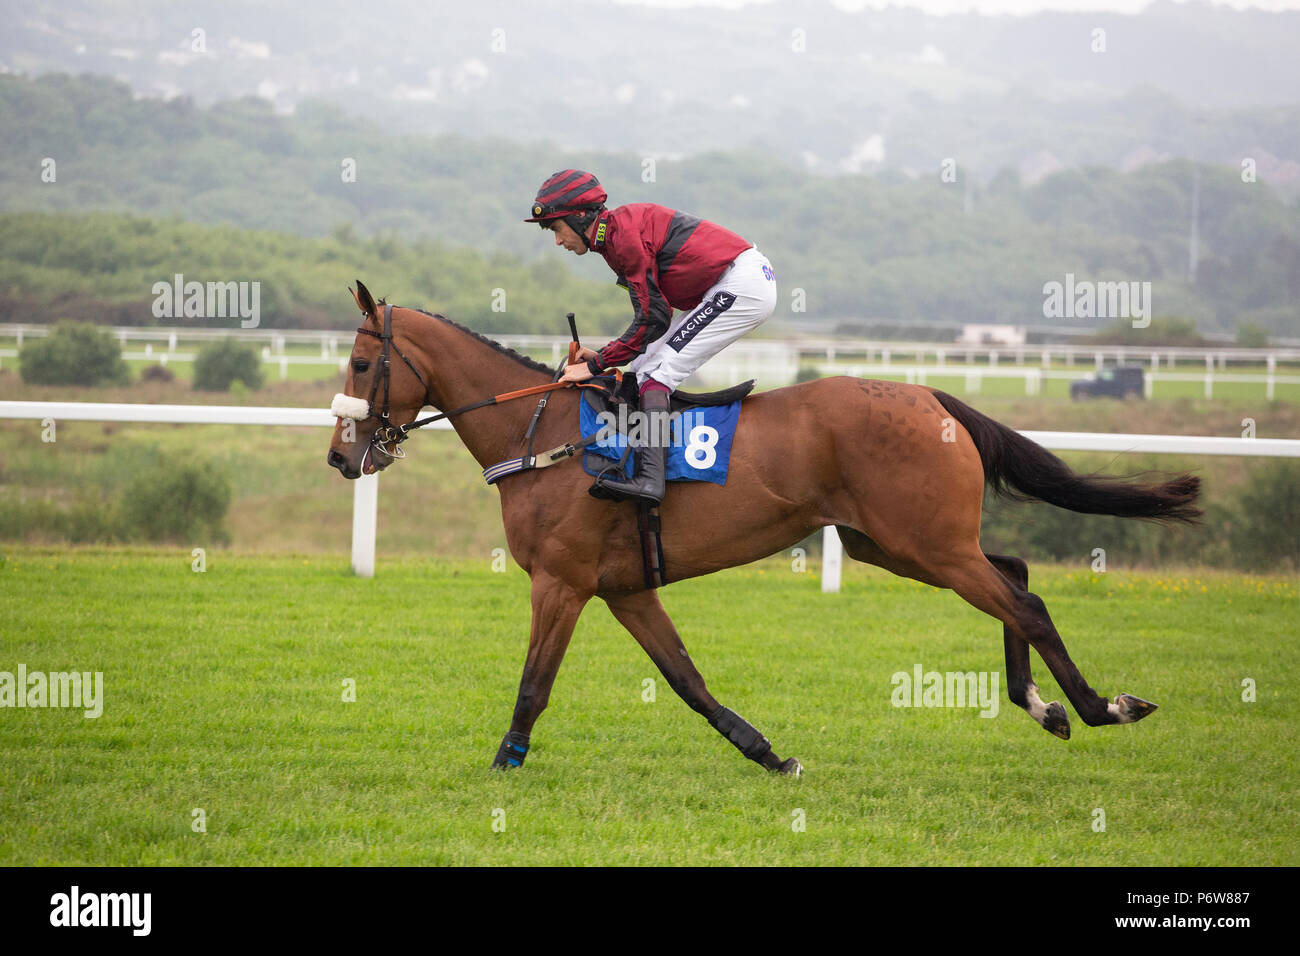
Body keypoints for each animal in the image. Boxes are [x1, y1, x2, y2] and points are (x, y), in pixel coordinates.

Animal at [325, 280, 1196, 775]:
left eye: (362, 365)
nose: (340, 454)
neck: (543, 436)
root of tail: (931, 396)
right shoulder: (624, 589)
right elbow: (687, 681)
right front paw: (770, 755)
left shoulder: (562, 582)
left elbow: (535, 684)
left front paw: (505, 764)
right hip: (901, 544)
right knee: (1014, 572)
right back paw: (1043, 706)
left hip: (928, 544)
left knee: (1026, 603)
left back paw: (1100, 706)